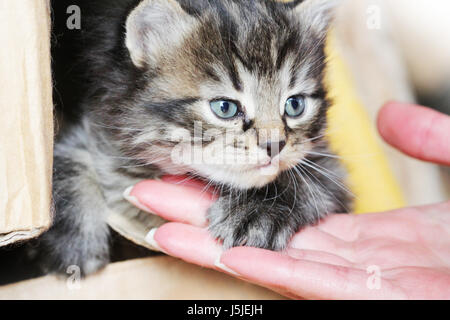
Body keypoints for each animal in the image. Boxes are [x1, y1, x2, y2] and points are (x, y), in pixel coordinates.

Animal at [40, 0, 350, 276]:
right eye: (225, 108)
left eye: (294, 105)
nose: (275, 145)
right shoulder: (95, 127)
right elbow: (67, 162)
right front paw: (76, 246)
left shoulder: (331, 167)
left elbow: (307, 179)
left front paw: (259, 210)